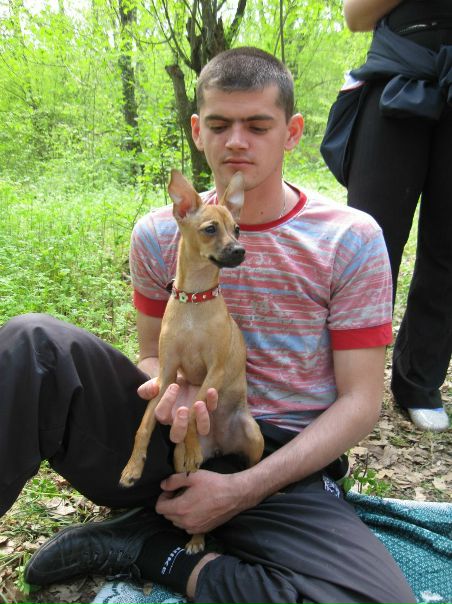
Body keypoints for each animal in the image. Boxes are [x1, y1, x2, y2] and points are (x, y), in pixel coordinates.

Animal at [120, 169, 264, 553]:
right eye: (210, 229)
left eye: (238, 229)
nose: (240, 250)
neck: (195, 302)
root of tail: (221, 444)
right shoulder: (167, 374)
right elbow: (144, 425)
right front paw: (132, 468)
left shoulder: (214, 371)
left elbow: (196, 403)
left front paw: (189, 442)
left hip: (254, 438)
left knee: (247, 472)